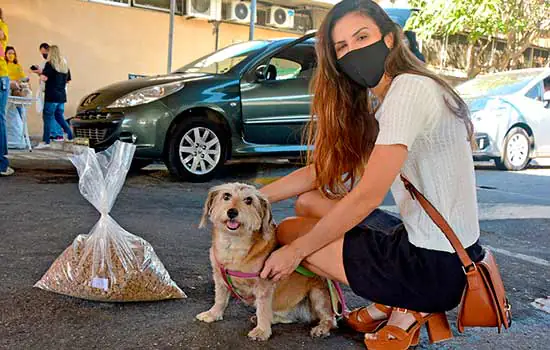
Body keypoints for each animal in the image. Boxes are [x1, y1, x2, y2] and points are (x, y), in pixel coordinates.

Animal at [198, 182, 336, 340]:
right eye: (226, 196)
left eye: (249, 200)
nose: (232, 212)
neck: (233, 245)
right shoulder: (219, 277)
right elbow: (220, 299)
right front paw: (213, 314)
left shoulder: (264, 284)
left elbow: (263, 309)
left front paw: (262, 331)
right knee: (288, 318)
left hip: (318, 293)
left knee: (330, 319)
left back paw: (321, 328)